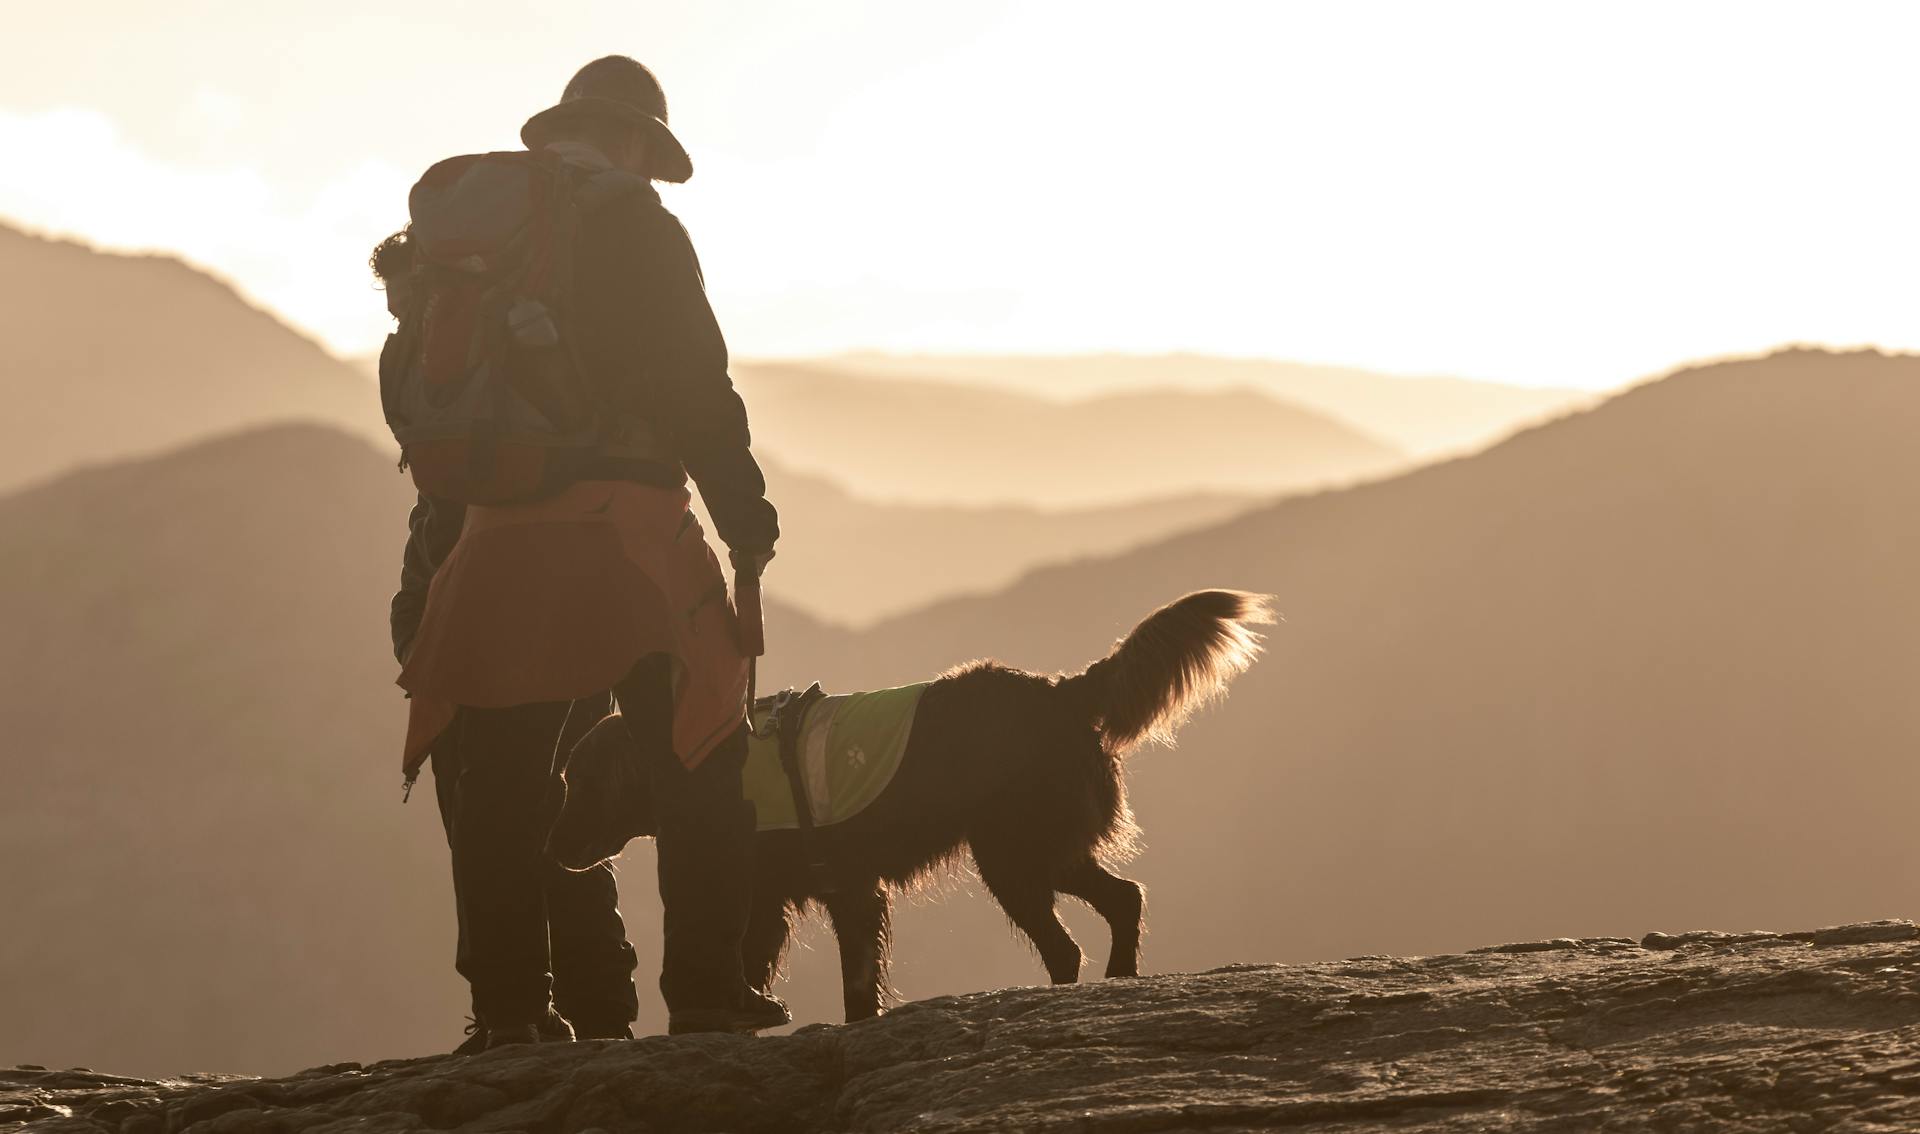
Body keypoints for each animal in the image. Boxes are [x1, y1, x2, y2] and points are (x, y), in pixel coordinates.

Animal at [549, 590, 1267, 1028]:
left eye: (579, 782)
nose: (552, 850)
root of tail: (1060, 691)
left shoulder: (849, 892)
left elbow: (855, 982)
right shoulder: (781, 897)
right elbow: (761, 960)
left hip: (1011, 855)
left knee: (1072, 940)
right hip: (1038, 850)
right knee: (1122, 901)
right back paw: (1119, 981)